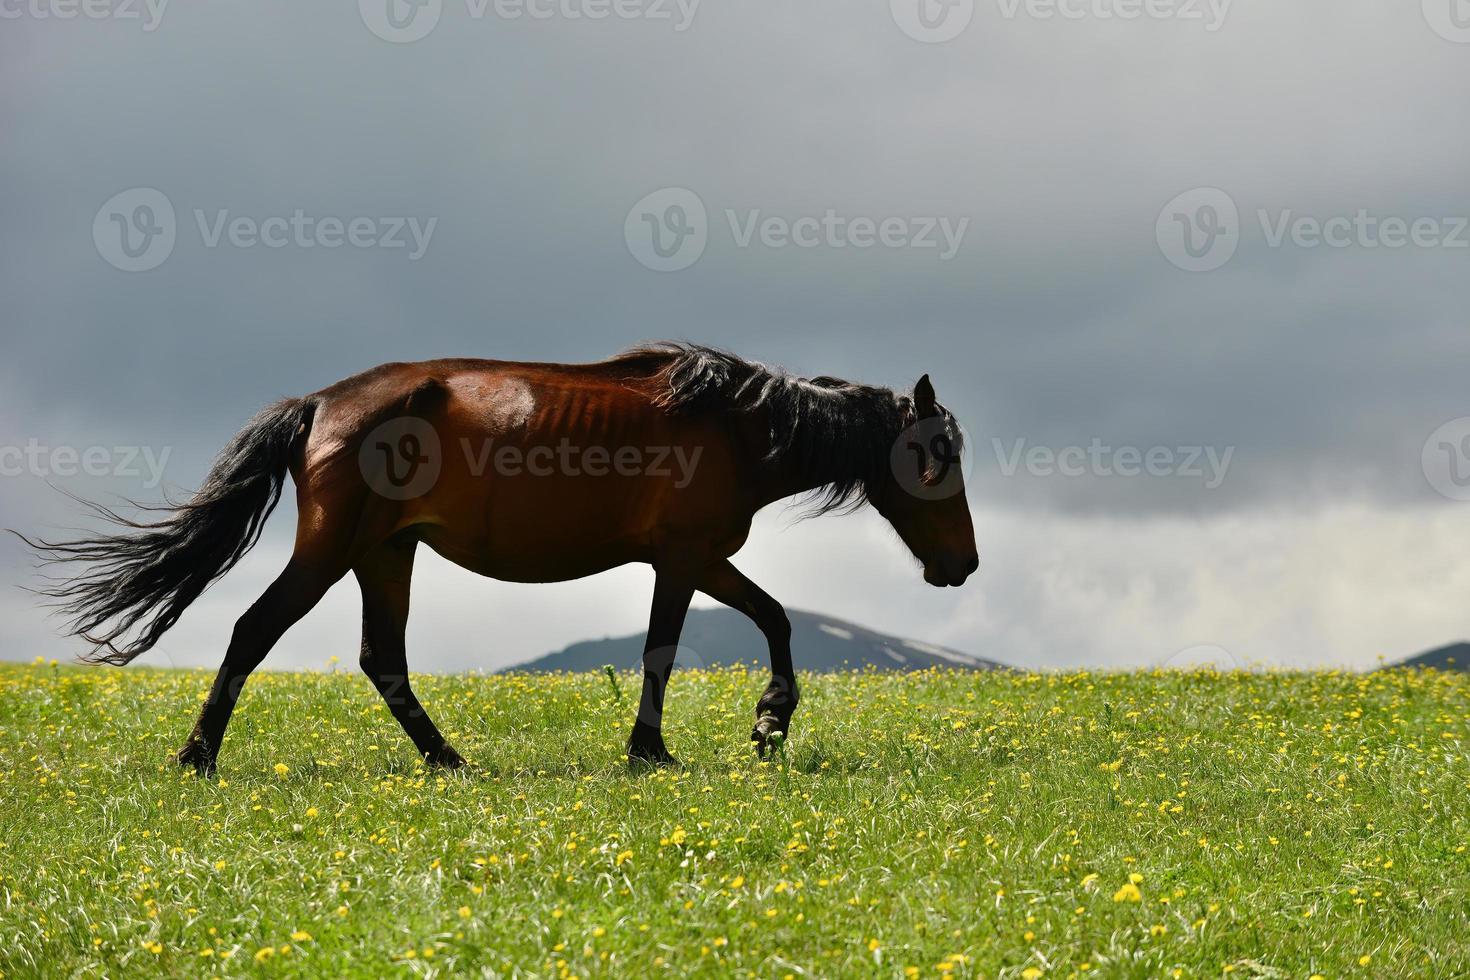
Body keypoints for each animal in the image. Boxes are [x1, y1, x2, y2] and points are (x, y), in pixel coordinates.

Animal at [20, 345, 976, 775]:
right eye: (939, 456)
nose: (963, 565)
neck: (738, 427)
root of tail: (320, 403)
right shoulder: (682, 559)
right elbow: (663, 652)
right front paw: (655, 751)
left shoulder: (703, 559)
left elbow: (774, 619)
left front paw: (769, 723)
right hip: (334, 550)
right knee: (255, 632)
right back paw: (198, 758)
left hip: (386, 553)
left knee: (383, 660)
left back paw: (447, 759)